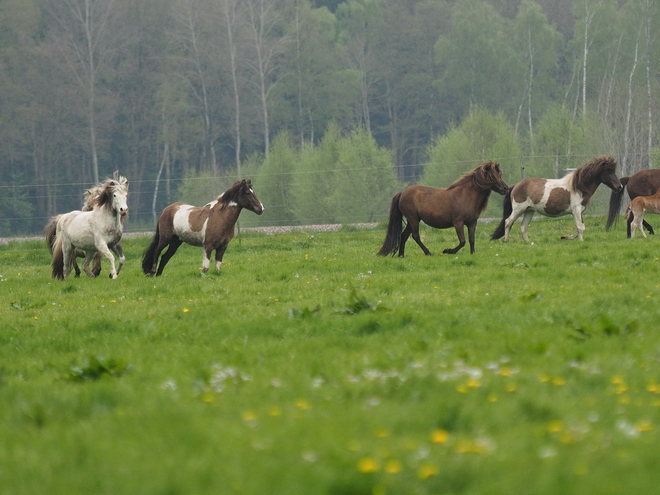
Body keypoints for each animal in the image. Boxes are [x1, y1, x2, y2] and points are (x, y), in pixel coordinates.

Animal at [376, 162, 510, 258]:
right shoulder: (458, 223)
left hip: (412, 220)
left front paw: (472, 254)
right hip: (413, 219)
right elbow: (462, 241)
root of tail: (402, 193)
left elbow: (471, 240)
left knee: (404, 235)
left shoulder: (472, 223)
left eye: (500, 175)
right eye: (493, 176)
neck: (466, 196)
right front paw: (448, 251)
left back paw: (401, 255)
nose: (506, 189)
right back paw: (428, 253)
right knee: (415, 236)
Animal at [490, 153, 624, 242]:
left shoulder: (580, 211)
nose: (620, 187)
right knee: (508, 222)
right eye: (609, 171)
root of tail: (516, 185)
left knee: (523, 227)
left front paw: (567, 237)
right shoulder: (576, 210)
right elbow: (580, 227)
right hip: (519, 209)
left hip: (529, 211)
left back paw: (529, 243)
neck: (578, 187)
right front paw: (581, 241)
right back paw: (506, 240)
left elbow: (580, 227)